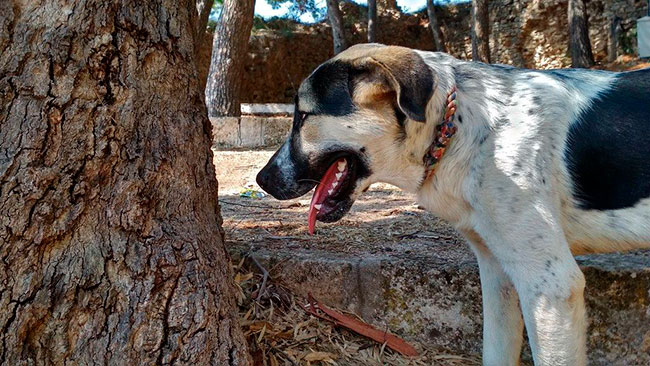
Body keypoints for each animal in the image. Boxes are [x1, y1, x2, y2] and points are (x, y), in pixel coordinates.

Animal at [254, 44, 648, 364]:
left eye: (304, 116)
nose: (261, 179)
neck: (460, 128)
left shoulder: (550, 286)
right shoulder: (499, 274)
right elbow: (495, 352)